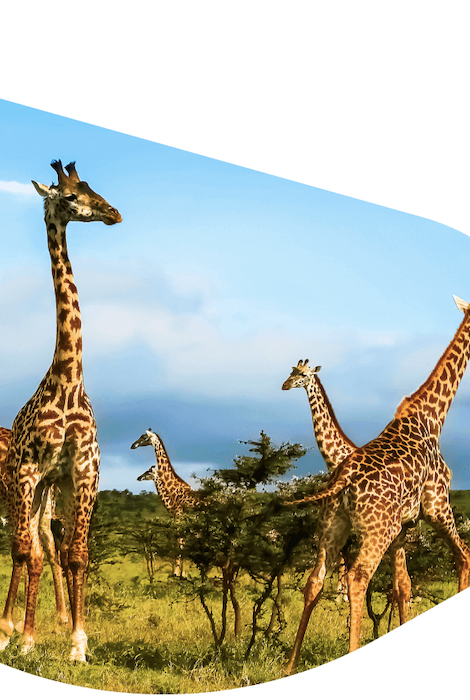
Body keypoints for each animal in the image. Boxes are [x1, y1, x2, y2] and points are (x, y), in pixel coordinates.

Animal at [131, 429, 197, 576]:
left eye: (144, 437)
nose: (133, 445)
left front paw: (177, 573)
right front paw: (180, 573)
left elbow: (179, 543)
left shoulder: (178, 517)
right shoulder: (175, 519)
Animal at [284, 296, 470, 674]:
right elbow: (463, 559)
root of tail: (343, 476)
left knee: (316, 580)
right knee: (357, 578)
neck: (433, 416)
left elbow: (402, 587)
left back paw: (290, 666)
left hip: (334, 526)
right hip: (376, 530)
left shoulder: (404, 526)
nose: (283, 384)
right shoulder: (436, 505)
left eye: (300, 373)